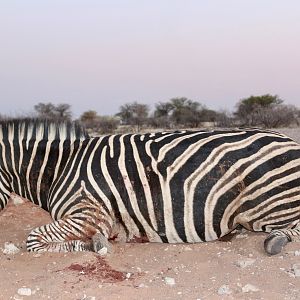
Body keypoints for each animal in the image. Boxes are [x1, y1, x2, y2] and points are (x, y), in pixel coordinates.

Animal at [0, 118, 300, 254]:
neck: (61, 168)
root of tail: (289, 140)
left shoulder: (88, 215)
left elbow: (33, 240)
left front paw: (91, 245)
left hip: (265, 209)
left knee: (289, 228)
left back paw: (275, 241)